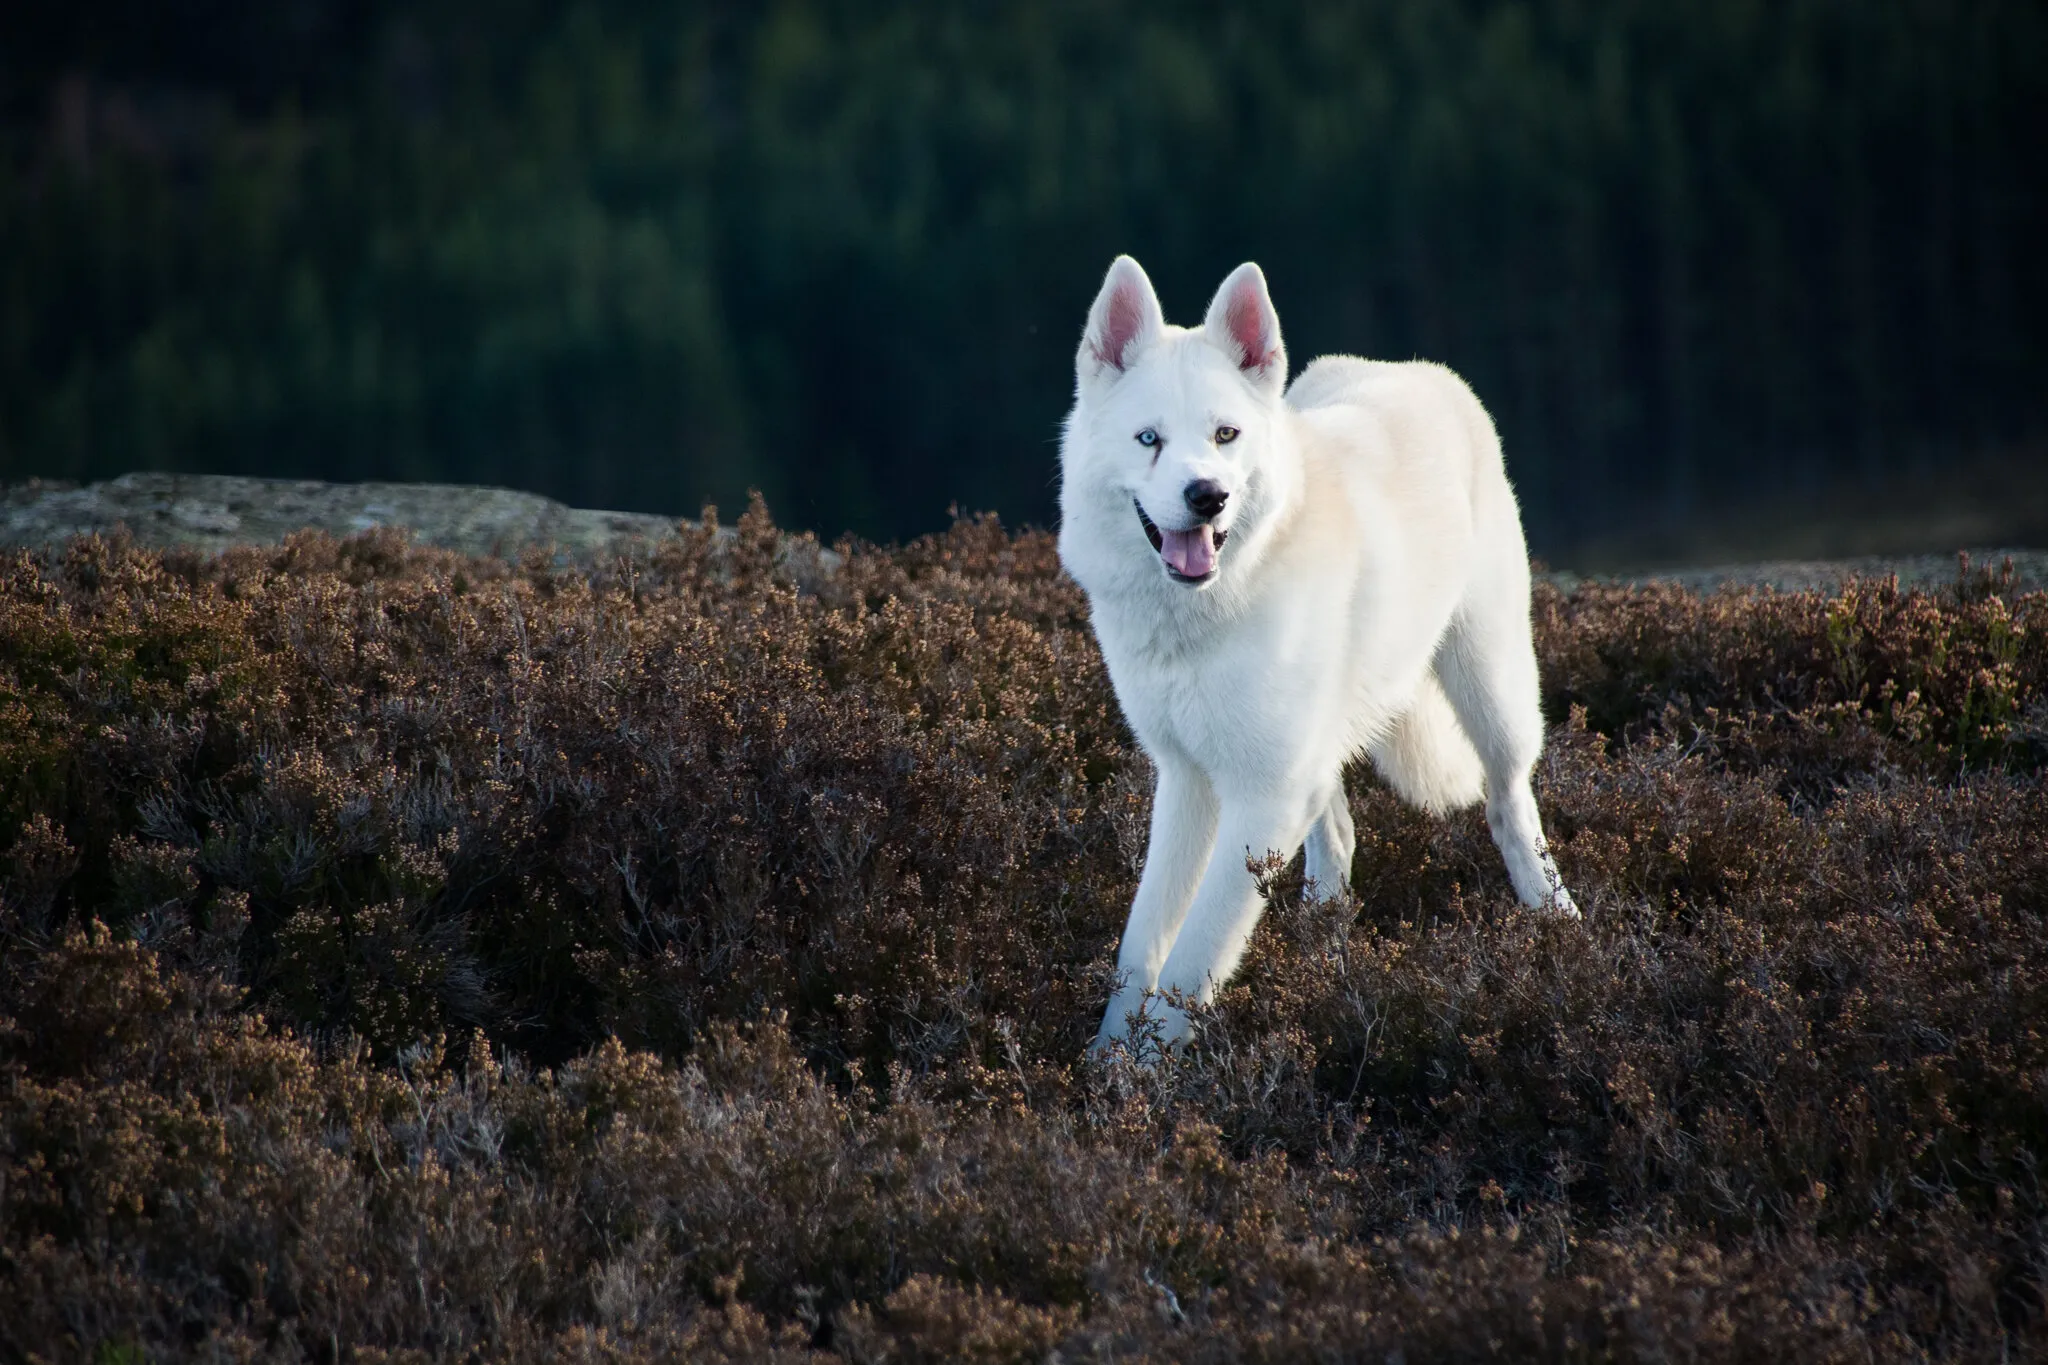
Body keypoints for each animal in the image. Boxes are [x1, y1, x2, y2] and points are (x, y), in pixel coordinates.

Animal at [1059, 256, 1577, 1053]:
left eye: (1225, 434)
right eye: (1149, 439)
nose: (1206, 495)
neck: (1208, 610)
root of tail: (1417, 372)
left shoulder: (1262, 796)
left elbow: (1193, 957)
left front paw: (1150, 1071)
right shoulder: (1188, 780)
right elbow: (1140, 944)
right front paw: (1109, 1062)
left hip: (1490, 691)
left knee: (1509, 806)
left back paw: (1560, 926)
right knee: (1337, 839)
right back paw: (1323, 963)